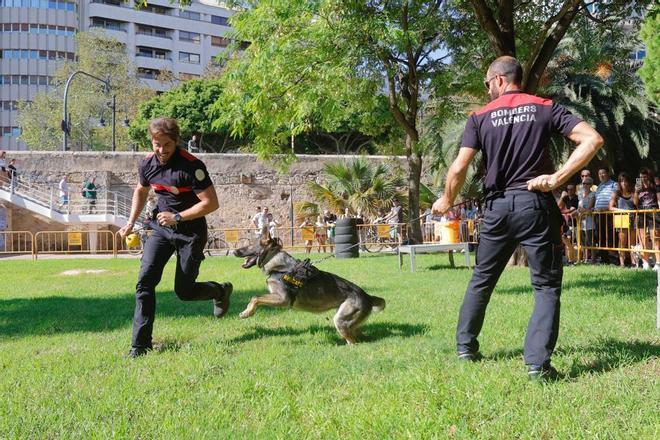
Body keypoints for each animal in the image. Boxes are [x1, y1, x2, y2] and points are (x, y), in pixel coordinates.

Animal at [233, 230, 384, 344]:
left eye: (249, 244)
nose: (234, 251)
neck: (277, 264)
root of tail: (368, 296)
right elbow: (255, 297)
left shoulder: (283, 299)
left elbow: (255, 297)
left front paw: (247, 313)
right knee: (359, 335)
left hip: (340, 320)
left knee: (353, 341)